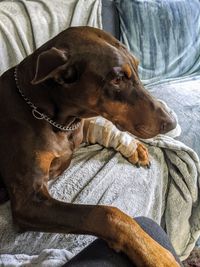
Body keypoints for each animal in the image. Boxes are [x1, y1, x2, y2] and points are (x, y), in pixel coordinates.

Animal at [0, 25, 179, 267]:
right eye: (117, 79)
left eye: (137, 67)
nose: (171, 123)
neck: (51, 117)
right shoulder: (28, 202)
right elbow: (105, 213)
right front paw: (155, 254)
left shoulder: (78, 128)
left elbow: (97, 126)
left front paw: (134, 148)